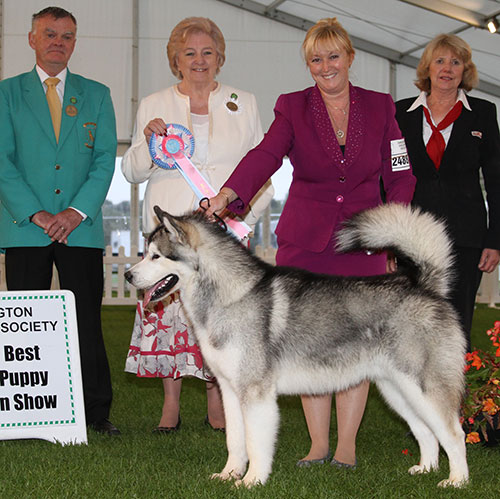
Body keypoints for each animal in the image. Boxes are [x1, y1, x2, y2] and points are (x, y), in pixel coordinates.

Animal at [125, 203, 468, 488]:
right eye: (146, 253)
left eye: (156, 256)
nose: (128, 275)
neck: (231, 296)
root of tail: (425, 286)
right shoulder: (230, 390)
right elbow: (235, 440)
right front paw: (229, 475)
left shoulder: (256, 394)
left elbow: (255, 443)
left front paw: (252, 481)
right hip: (397, 390)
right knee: (426, 432)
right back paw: (425, 469)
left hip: (423, 388)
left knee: (454, 433)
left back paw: (457, 481)